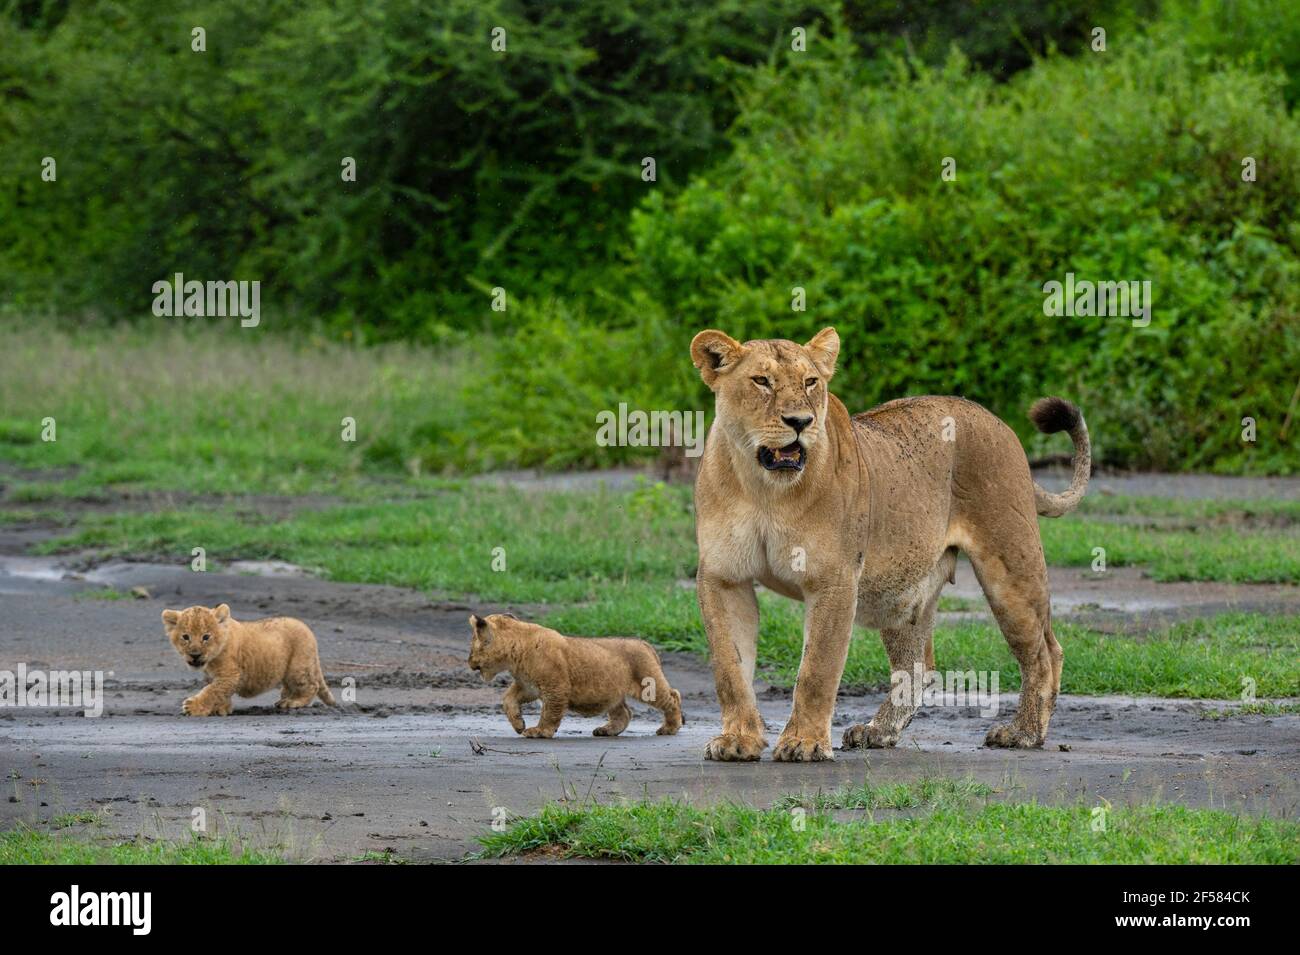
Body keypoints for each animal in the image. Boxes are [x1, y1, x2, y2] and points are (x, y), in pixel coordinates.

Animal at [691, 328, 1086, 764]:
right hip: (900, 593)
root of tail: (995, 420)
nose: (800, 422)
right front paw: (738, 740)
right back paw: (878, 731)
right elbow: (730, 667)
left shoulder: (834, 579)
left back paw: (1024, 732)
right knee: (918, 667)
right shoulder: (723, 577)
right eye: (761, 381)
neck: (764, 489)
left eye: (810, 383)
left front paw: (804, 743)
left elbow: (817, 668)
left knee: (1045, 652)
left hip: (1010, 567)